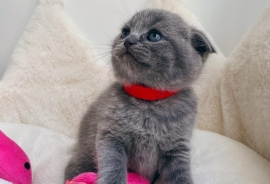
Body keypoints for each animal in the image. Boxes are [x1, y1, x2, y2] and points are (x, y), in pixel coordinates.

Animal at [64, 9, 214, 184]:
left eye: (154, 35)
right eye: (125, 32)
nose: (128, 40)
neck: (148, 100)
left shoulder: (177, 148)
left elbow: (180, 175)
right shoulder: (111, 136)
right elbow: (113, 164)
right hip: (84, 152)